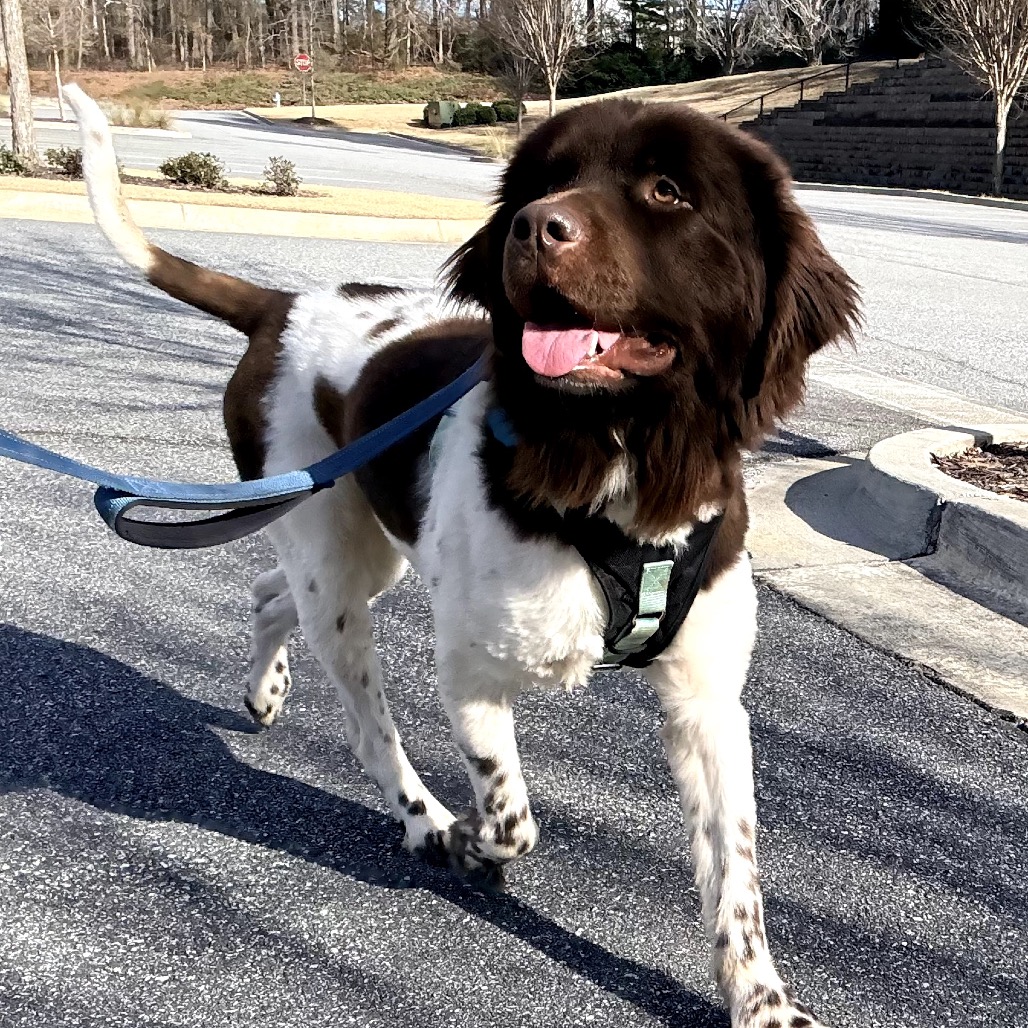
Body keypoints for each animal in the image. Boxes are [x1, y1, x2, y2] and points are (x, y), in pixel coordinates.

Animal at [65, 84, 858, 1027]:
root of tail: (279, 308)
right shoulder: (471, 673)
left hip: (363, 551)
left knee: (268, 590)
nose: (534, 228)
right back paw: (425, 822)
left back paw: (265, 692)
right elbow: (514, 817)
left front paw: (762, 1001)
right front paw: (476, 840)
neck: (615, 465)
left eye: (668, 190)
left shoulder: (707, 705)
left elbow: (736, 875)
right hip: (339, 568)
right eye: (542, 181)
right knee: (367, 723)